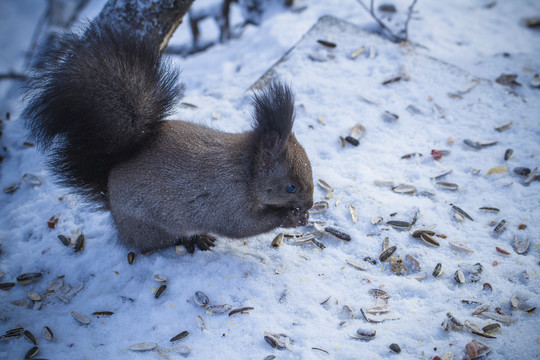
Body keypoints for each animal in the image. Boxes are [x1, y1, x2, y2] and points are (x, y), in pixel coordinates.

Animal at [23, 19, 314, 253]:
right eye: (291, 187)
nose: (310, 205)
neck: (246, 169)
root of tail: (110, 195)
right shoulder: (227, 201)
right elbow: (243, 225)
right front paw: (290, 218)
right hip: (153, 228)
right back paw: (193, 239)